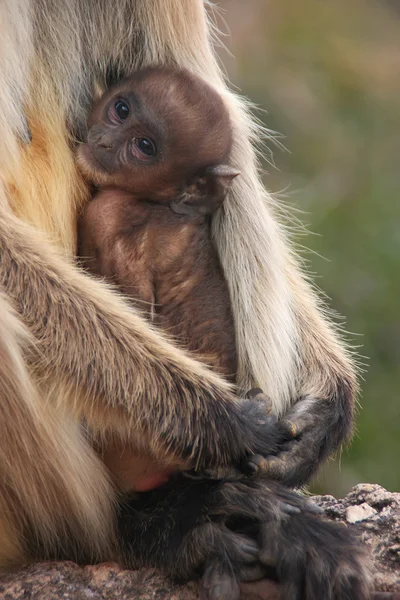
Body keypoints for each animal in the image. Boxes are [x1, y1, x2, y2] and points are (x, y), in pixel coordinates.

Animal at [0, 0, 368, 596]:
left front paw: (321, 411)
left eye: (145, 145)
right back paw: (155, 524)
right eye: (120, 108)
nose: (104, 141)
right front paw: (220, 421)